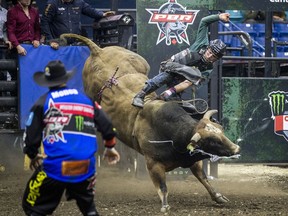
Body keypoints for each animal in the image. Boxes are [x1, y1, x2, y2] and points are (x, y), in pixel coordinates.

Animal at [60, 33, 241, 213]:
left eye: (221, 132)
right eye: (213, 141)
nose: (236, 148)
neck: (173, 134)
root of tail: (98, 51)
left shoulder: (192, 160)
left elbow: (203, 178)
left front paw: (218, 196)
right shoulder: (153, 165)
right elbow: (162, 187)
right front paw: (165, 206)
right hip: (91, 92)